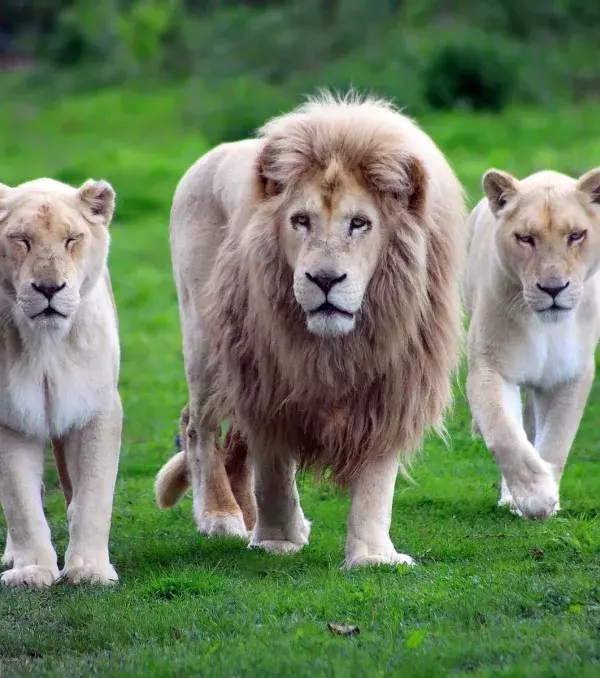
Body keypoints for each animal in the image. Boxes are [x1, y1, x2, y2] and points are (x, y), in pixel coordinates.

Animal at [0, 177, 122, 588]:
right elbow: (20, 502)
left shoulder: (97, 410)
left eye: (72, 240)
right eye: (21, 240)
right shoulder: (10, 418)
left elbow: (94, 496)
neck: (46, 344)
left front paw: (89, 570)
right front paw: (32, 571)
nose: (50, 289)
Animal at [155, 94, 465, 567]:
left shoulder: (394, 383)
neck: (336, 346)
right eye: (300, 220)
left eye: (360, 223)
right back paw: (221, 517)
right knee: (199, 426)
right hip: (207, 342)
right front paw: (277, 541)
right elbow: (274, 470)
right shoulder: (266, 378)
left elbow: (376, 480)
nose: (324, 279)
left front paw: (373, 557)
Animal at [465, 168, 600, 519]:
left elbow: (556, 441)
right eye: (526, 238)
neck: (545, 328)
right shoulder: (489, 367)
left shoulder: (571, 375)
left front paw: (549, 499)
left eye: (576, 235)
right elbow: (504, 434)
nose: (553, 288)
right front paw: (535, 496)